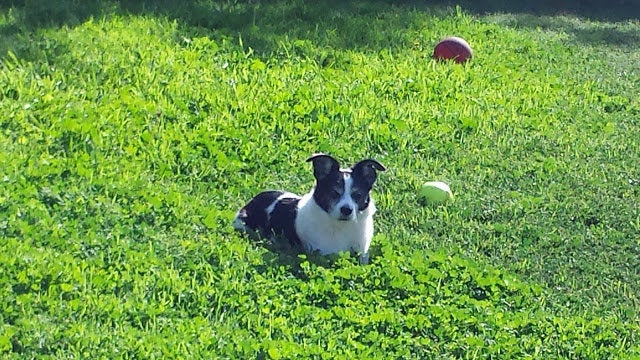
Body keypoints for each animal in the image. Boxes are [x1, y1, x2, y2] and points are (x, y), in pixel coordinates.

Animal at [234, 153, 384, 262]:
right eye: (334, 193)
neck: (341, 226)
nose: (346, 210)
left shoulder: (362, 253)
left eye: (357, 195)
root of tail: (252, 201)